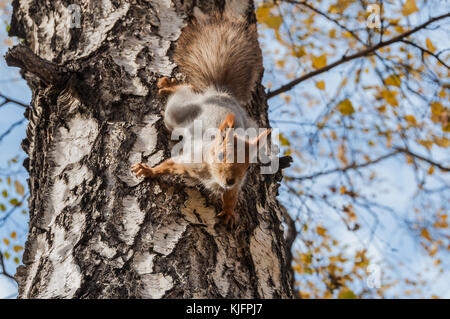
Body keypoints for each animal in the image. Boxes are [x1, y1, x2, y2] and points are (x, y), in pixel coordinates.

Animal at [131, 8, 270, 226]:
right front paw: (148, 171)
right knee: (183, 90)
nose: (230, 180)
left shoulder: (233, 187)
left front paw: (229, 212)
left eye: (248, 168)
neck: (212, 176)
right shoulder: (189, 159)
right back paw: (169, 85)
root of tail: (220, 93)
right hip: (175, 113)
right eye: (221, 155)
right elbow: (168, 165)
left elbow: (231, 196)